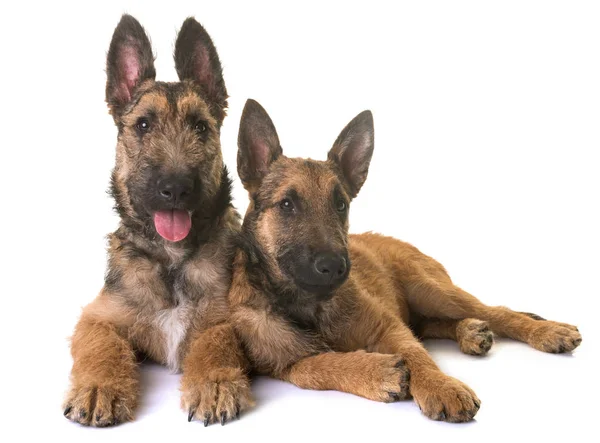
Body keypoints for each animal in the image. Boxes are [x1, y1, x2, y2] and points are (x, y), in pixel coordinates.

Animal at [62, 14, 253, 430]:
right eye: (144, 125)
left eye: (200, 126)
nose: (176, 189)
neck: (171, 258)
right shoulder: (98, 316)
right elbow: (102, 345)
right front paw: (99, 388)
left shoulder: (225, 317)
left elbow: (216, 342)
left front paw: (214, 385)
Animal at [226, 99, 580, 424]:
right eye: (287, 204)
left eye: (341, 205)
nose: (336, 266)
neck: (311, 305)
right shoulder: (284, 364)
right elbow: (315, 367)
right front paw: (377, 371)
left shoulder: (388, 327)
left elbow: (416, 355)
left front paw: (440, 385)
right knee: (432, 325)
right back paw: (471, 332)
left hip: (430, 291)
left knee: (497, 312)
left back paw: (549, 332)